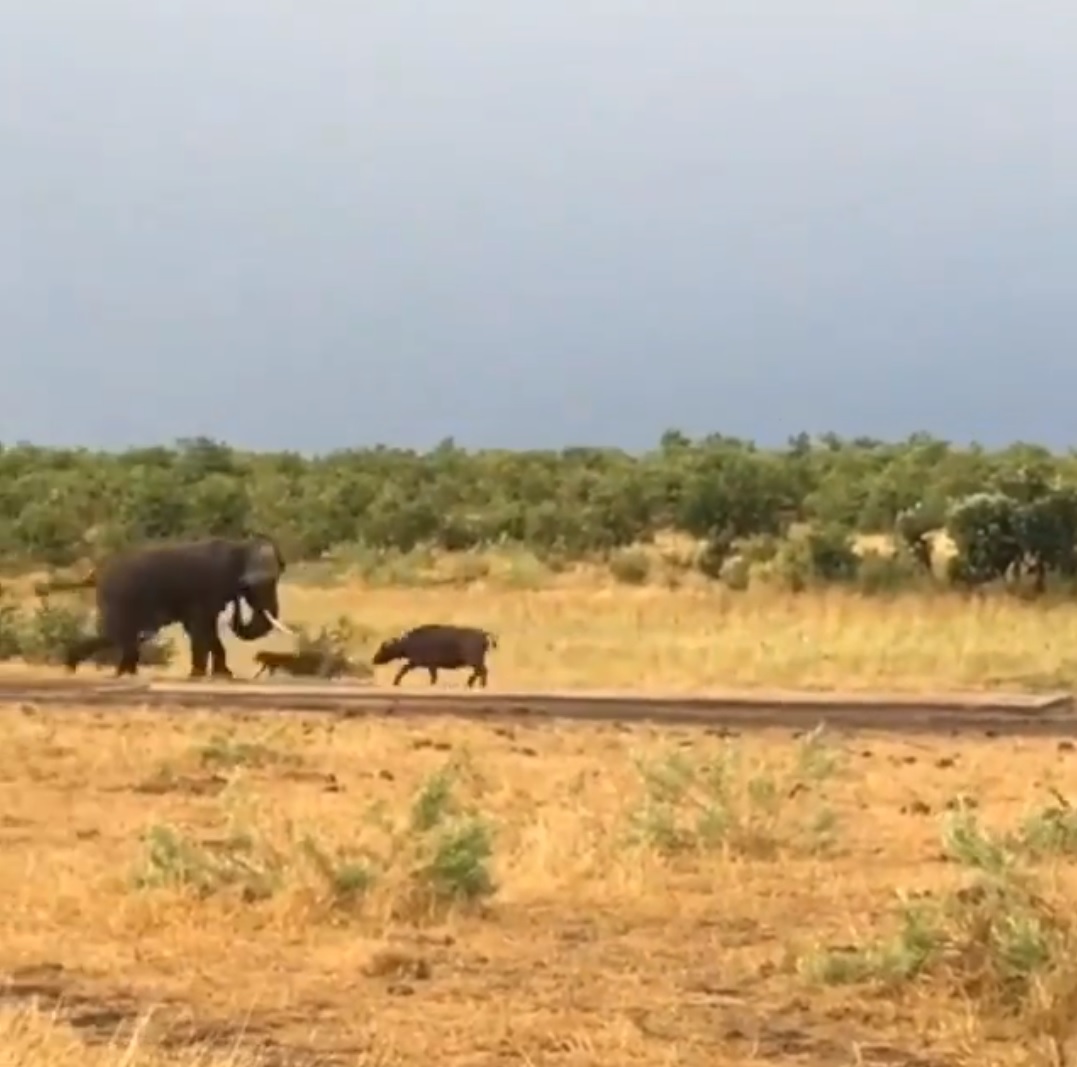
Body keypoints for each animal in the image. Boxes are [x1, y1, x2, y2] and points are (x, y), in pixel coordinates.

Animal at [37, 535, 295, 679]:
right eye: (254, 585)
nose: (236, 610)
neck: (239, 548)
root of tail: (96, 574)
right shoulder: (206, 588)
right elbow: (202, 628)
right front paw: (201, 675)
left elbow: (205, 630)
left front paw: (221, 675)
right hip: (118, 599)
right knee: (116, 634)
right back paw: (111, 671)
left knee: (116, 636)